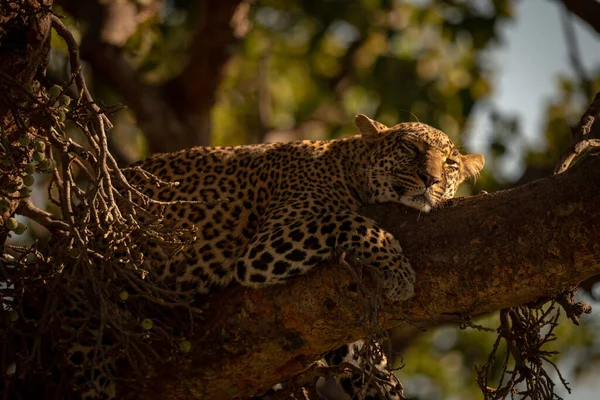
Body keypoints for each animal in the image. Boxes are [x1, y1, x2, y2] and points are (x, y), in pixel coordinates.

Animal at [69, 114, 482, 398]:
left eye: (450, 163)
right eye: (411, 149)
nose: (431, 180)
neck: (346, 165)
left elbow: (359, 357)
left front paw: (384, 385)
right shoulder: (271, 242)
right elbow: (350, 219)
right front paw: (397, 270)